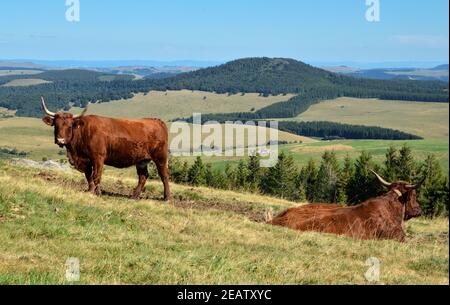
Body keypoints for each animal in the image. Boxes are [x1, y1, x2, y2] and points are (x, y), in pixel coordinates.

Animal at [40, 97, 171, 200]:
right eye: (56, 125)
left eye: (69, 125)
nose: (60, 140)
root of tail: (156, 121)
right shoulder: (86, 160)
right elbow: (88, 176)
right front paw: (90, 191)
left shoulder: (98, 157)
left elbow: (96, 176)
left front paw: (98, 193)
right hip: (141, 160)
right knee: (143, 176)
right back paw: (134, 196)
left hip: (160, 157)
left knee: (164, 175)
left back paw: (167, 198)